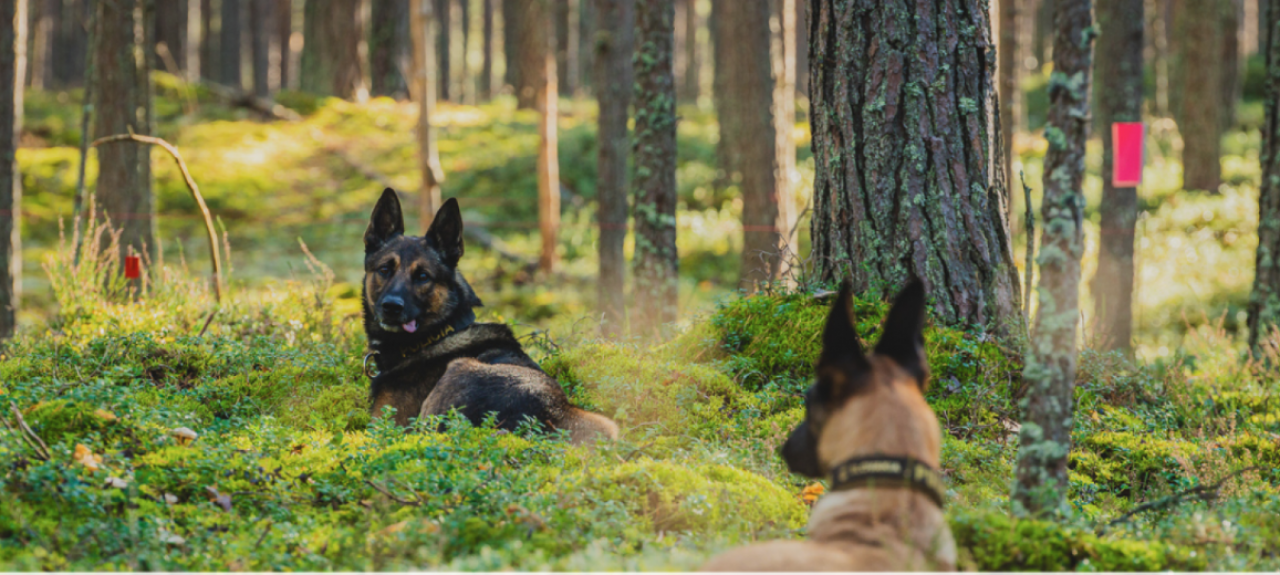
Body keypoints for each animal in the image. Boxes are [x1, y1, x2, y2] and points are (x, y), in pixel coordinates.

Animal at [360, 188, 619, 443]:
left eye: (423, 276)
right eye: (384, 269)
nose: (391, 307)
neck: (437, 334)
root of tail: (555, 415)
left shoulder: (385, 424)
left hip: (458, 370)